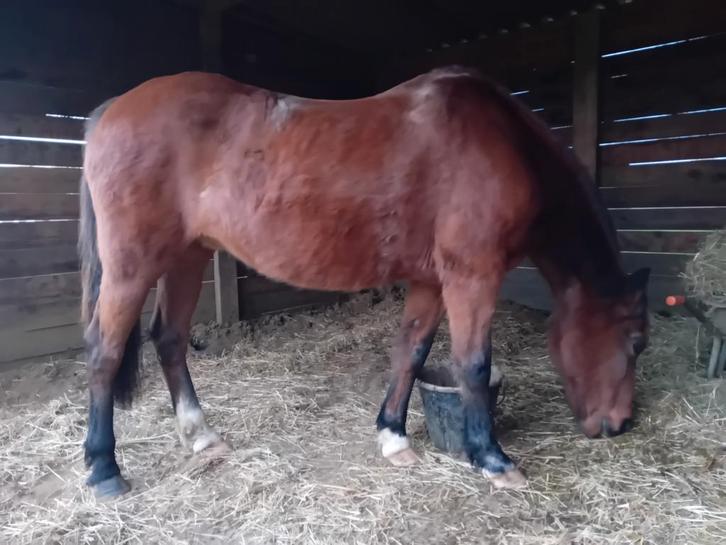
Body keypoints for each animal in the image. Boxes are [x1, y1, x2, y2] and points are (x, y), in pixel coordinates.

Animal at [78, 66, 650, 498]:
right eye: (636, 343)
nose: (620, 424)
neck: (502, 142)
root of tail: (112, 108)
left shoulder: (431, 281)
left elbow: (411, 352)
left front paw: (393, 435)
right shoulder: (472, 277)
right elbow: (473, 365)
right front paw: (491, 458)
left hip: (187, 256)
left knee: (170, 339)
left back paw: (201, 437)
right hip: (132, 266)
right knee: (105, 352)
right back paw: (104, 469)